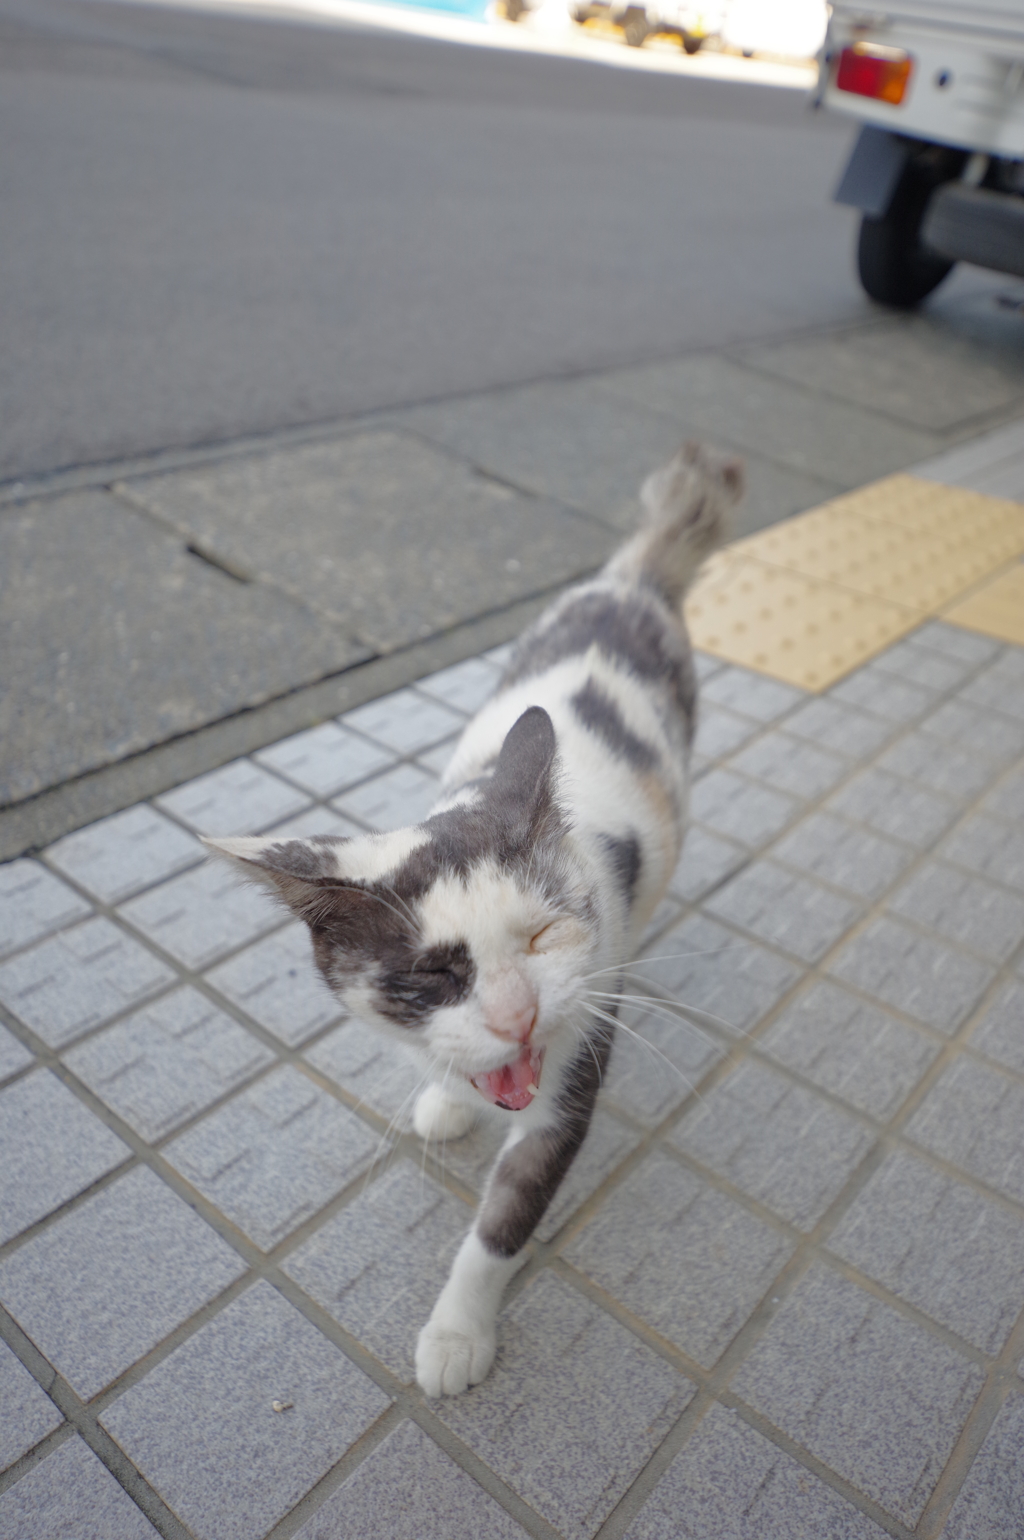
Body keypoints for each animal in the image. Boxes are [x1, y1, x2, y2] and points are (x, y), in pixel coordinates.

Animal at [203, 443, 739, 1398]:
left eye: (543, 935)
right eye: (431, 974)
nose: (518, 1016)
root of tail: (632, 578)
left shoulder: (575, 1059)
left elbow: (504, 1221)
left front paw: (458, 1335)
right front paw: (447, 1096)